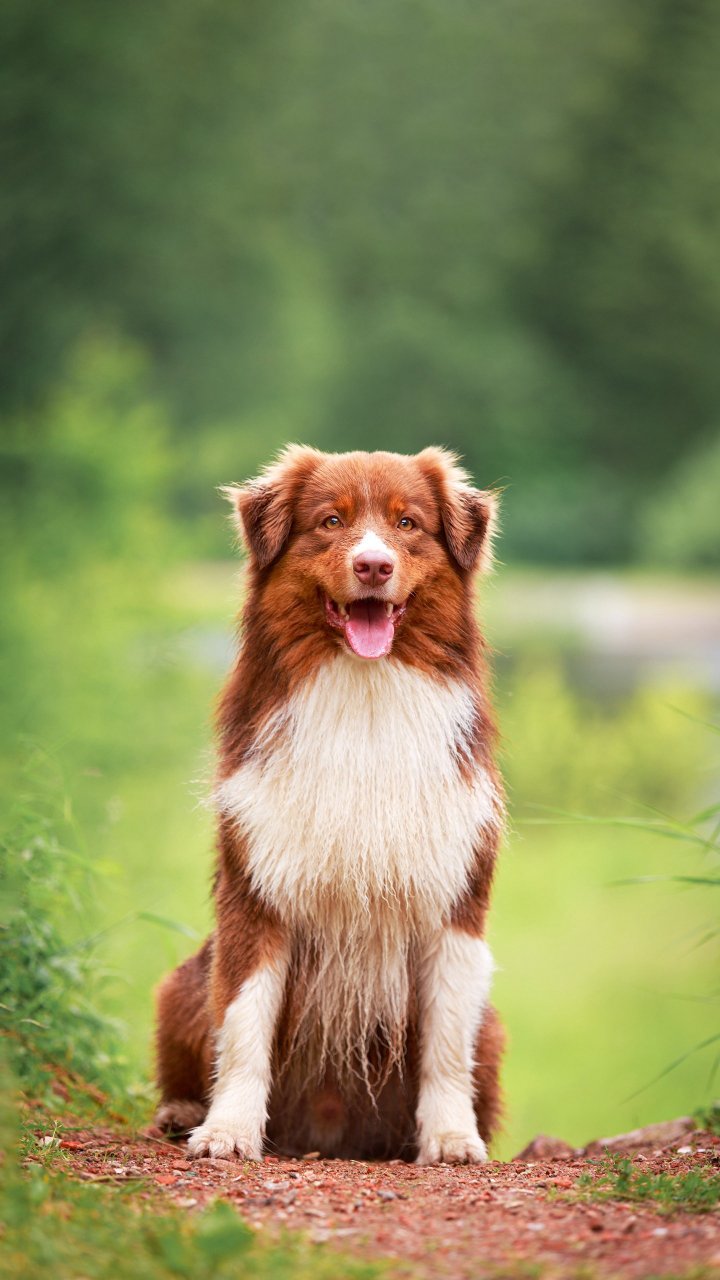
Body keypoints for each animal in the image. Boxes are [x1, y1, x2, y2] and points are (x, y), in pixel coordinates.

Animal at [154, 445, 502, 1167]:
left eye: (407, 523)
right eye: (331, 521)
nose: (373, 565)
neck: (363, 694)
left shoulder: (455, 899)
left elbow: (446, 1041)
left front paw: (451, 1135)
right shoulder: (256, 892)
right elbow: (244, 1022)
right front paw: (228, 1130)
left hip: (495, 1023)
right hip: (180, 983)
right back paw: (181, 1111)